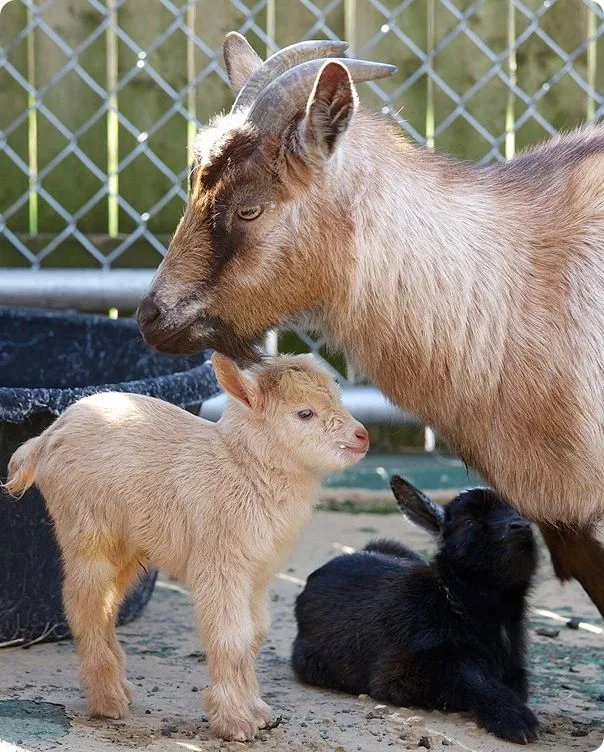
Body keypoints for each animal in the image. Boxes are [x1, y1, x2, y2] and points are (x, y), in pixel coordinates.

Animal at [3, 353, 368, 742]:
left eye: (338, 398)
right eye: (304, 414)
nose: (362, 436)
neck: (245, 469)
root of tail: (45, 437)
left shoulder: (257, 574)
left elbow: (254, 635)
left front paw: (256, 711)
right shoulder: (220, 565)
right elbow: (230, 636)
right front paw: (234, 722)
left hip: (127, 547)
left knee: (105, 607)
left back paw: (120, 688)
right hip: (87, 531)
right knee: (81, 603)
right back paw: (107, 701)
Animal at [293, 475, 539, 745]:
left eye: (520, 509)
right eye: (468, 522)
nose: (520, 526)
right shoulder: (396, 675)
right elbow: (467, 672)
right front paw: (515, 719)